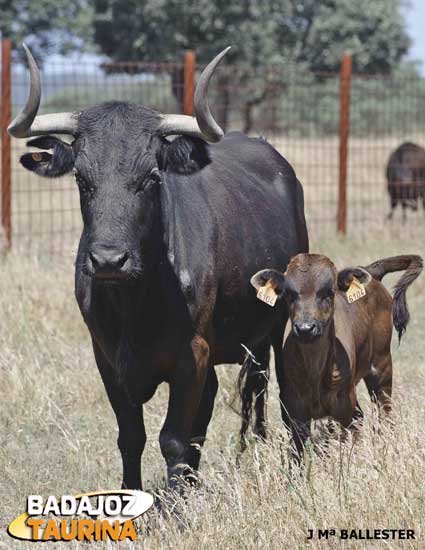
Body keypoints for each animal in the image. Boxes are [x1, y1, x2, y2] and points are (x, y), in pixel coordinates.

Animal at [9, 44, 308, 492]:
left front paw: (177, 501)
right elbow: (132, 436)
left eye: (151, 177)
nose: (109, 260)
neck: (133, 302)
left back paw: (292, 465)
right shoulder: (107, 358)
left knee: (284, 396)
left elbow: (174, 438)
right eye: (81, 178)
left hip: (281, 323)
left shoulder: (191, 356)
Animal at [248, 253, 420, 458]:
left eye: (328, 293)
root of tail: (371, 271)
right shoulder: (296, 408)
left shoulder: (342, 406)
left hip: (381, 367)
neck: (315, 371)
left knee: (384, 412)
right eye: (289, 294)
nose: (305, 328)